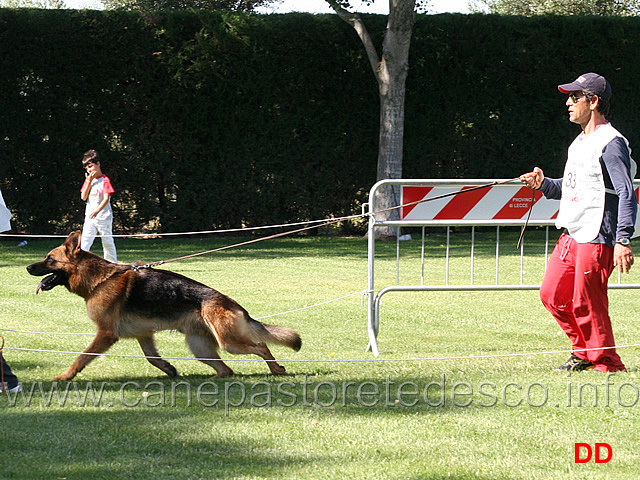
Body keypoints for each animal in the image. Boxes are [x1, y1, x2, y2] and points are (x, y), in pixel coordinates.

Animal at [26, 231, 302, 380]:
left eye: (49, 259)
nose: (27, 268)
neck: (99, 280)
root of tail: (232, 303)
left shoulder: (105, 334)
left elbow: (82, 357)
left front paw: (65, 376)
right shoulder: (144, 335)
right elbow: (152, 357)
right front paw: (169, 368)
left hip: (229, 342)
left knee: (261, 345)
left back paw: (277, 368)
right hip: (201, 347)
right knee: (227, 370)